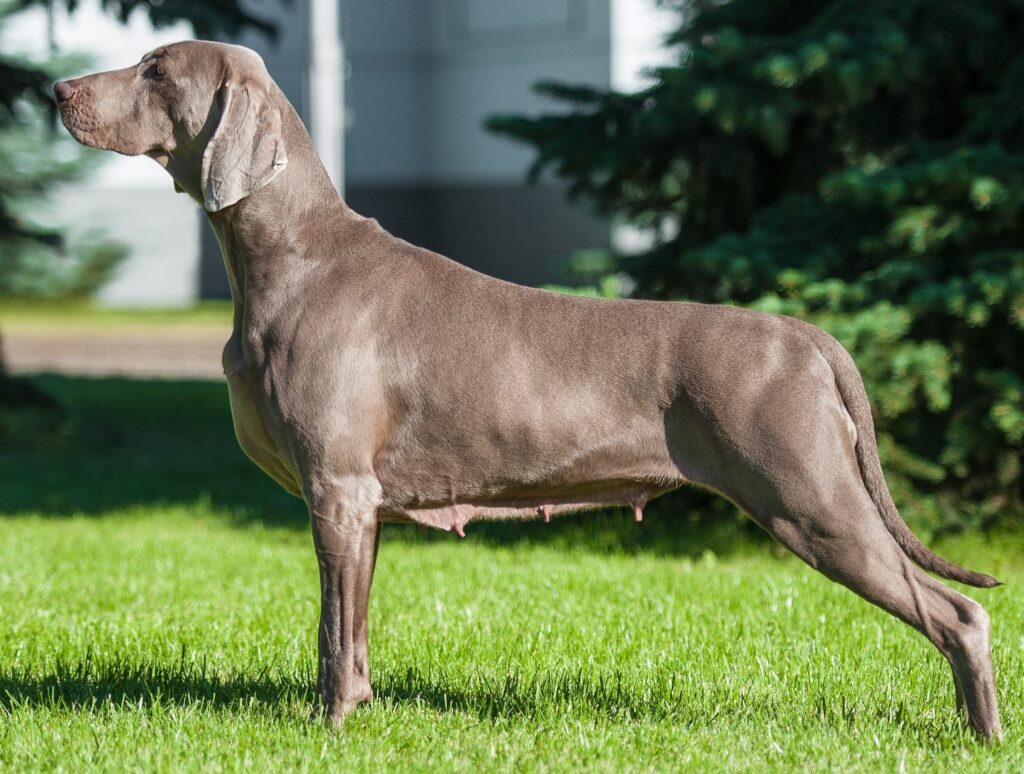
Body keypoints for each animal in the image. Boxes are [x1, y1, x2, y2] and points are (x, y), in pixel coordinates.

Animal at [54, 40, 999, 737]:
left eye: (155, 70)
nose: (57, 89)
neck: (290, 255)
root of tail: (807, 335)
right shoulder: (359, 505)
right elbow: (346, 629)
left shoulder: (339, 489)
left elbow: (333, 631)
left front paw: (333, 724)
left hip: (813, 500)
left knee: (958, 615)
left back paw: (982, 734)